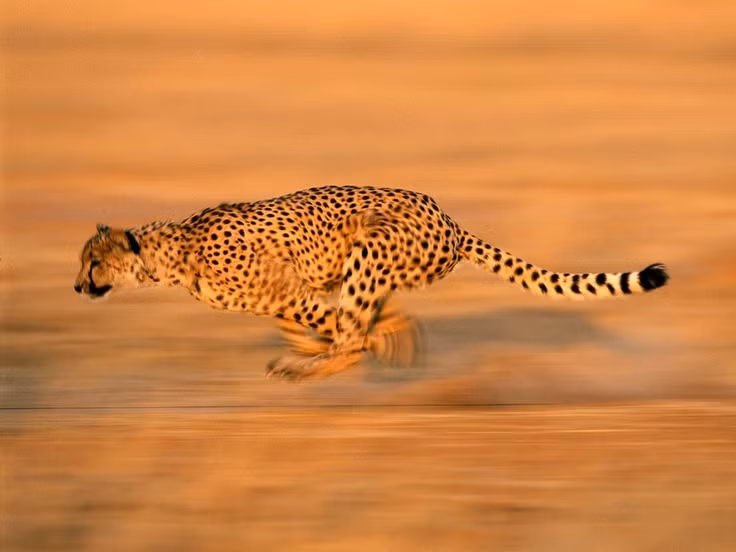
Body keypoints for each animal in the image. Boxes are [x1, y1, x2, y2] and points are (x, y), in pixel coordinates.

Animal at [74, 185, 669, 381]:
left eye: (92, 263)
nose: (78, 288)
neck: (171, 253)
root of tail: (450, 219)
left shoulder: (288, 290)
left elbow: (339, 326)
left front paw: (374, 339)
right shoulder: (281, 296)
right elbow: (310, 323)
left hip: (370, 247)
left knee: (353, 335)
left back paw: (308, 367)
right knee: (358, 325)